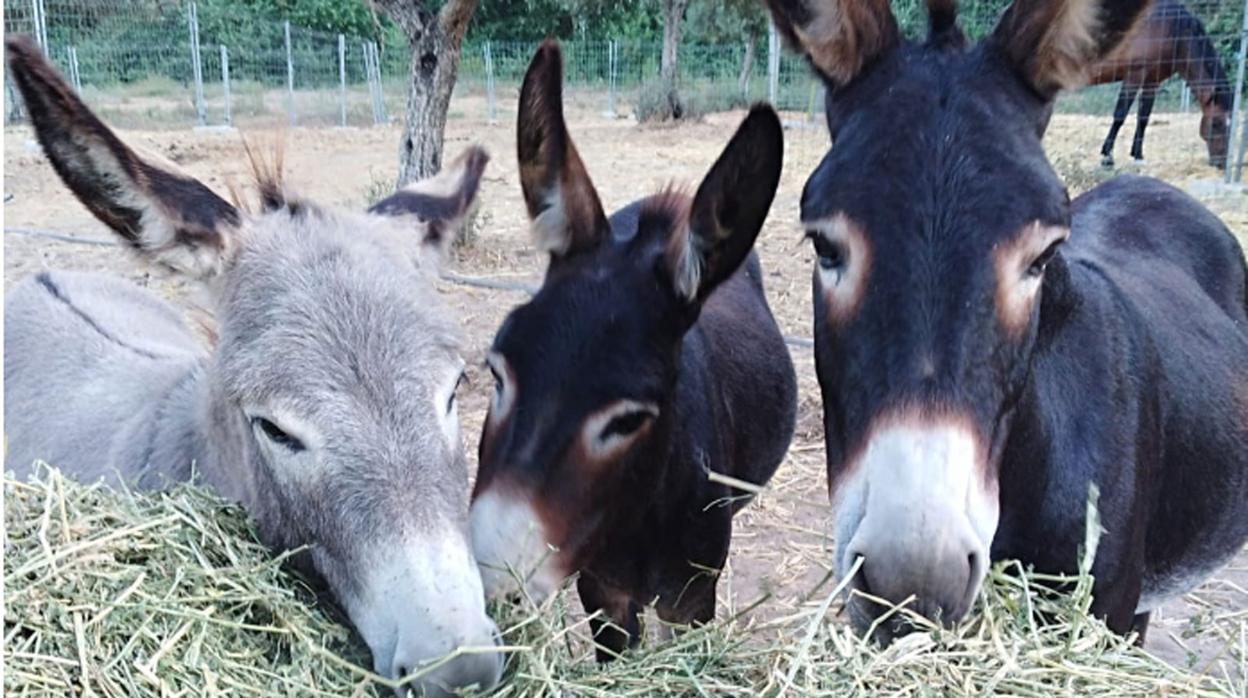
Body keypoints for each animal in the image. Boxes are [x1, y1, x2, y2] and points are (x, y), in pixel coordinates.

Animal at [1093, 0, 1228, 168]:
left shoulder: (1151, 82)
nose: (1221, 163)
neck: (1172, 28)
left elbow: (1144, 118)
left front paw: (1138, 156)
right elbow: (1120, 115)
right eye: (1216, 123)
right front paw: (1107, 157)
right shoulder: (1134, 76)